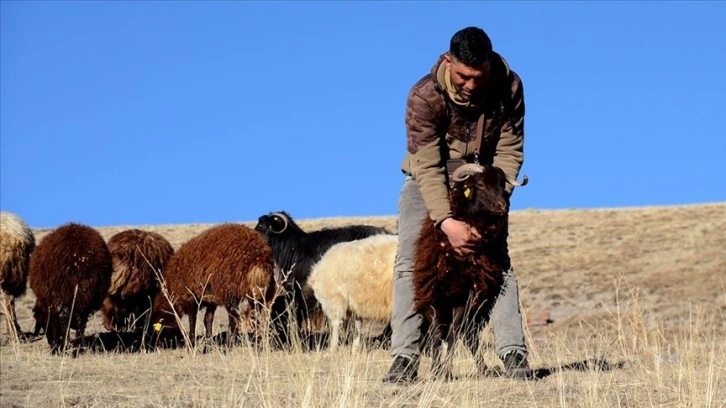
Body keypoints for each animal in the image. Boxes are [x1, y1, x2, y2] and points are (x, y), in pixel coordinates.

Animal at [29, 222, 113, 352]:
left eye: (44, 322)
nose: (52, 347)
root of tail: (83, 260)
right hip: (85, 297)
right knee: (80, 322)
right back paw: (78, 346)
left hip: (62, 292)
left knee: (65, 319)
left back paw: (64, 346)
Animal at [416, 163, 528, 380]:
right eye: (481, 185)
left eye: (502, 184)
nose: (503, 207)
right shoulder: (435, 298)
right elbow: (436, 335)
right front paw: (436, 371)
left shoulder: (465, 297)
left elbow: (454, 335)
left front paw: (446, 370)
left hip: (477, 308)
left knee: (469, 336)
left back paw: (485, 369)